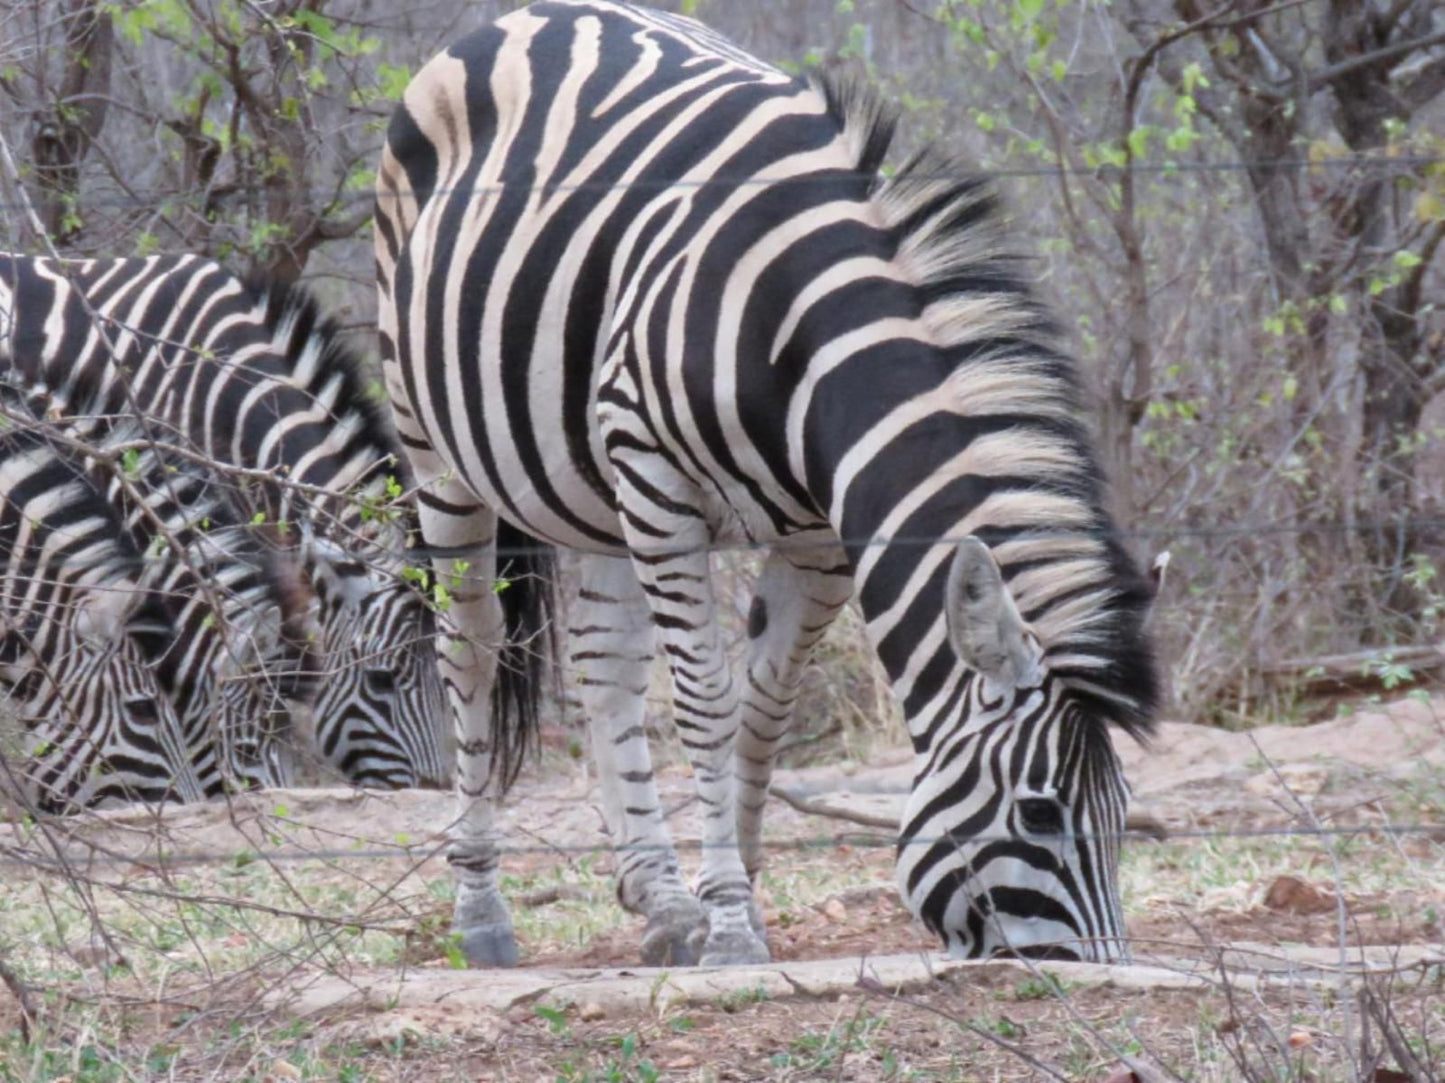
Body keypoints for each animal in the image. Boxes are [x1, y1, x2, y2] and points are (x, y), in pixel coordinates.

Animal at [375, 0, 1161, 965]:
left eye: (1122, 812)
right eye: (1040, 814)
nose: (1099, 975)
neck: (800, 339)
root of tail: (523, 16)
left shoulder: (816, 535)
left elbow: (763, 710)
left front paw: (731, 903)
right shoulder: (657, 481)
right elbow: (708, 705)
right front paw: (730, 928)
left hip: (585, 486)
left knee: (603, 665)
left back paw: (660, 900)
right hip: (437, 447)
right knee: (473, 649)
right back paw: (481, 910)